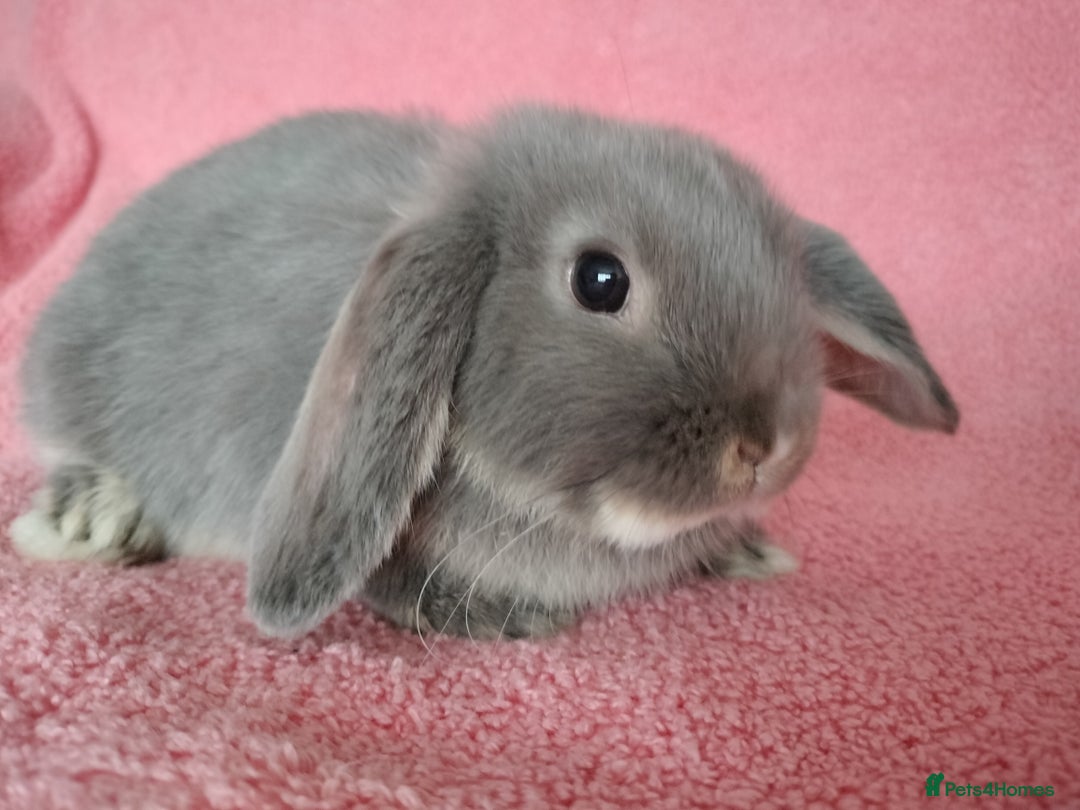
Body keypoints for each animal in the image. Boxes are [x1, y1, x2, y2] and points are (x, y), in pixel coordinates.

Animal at [9, 106, 959, 641]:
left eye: (787, 271)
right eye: (600, 280)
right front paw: (503, 617)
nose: (763, 446)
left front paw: (745, 548)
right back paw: (89, 519)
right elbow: (386, 577)